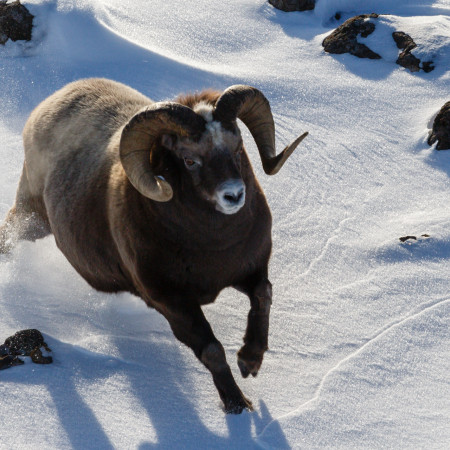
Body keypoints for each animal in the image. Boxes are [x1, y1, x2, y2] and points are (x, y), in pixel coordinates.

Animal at [0, 79, 308, 414]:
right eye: (189, 160)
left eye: (237, 148)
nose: (234, 195)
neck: (211, 248)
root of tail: (49, 103)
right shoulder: (172, 303)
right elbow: (212, 350)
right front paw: (237, 404)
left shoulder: (250, 270)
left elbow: (263, 296)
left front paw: (250, 361)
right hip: (31, 219)